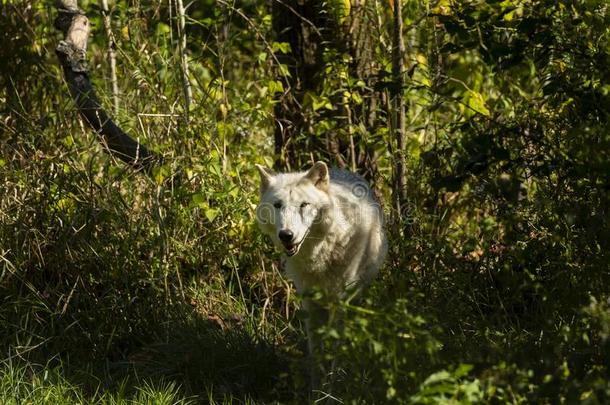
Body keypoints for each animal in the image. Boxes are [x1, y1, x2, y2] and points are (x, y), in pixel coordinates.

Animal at [254, 161, 388, 378]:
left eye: (304, 205)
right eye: (277, 205)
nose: (286, 235)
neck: (318, 256)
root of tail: (342, 169)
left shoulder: (341, 301)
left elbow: (337, 349)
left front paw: (333, 383)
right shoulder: (309, 301)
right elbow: (316, 351)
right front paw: (317, 383)